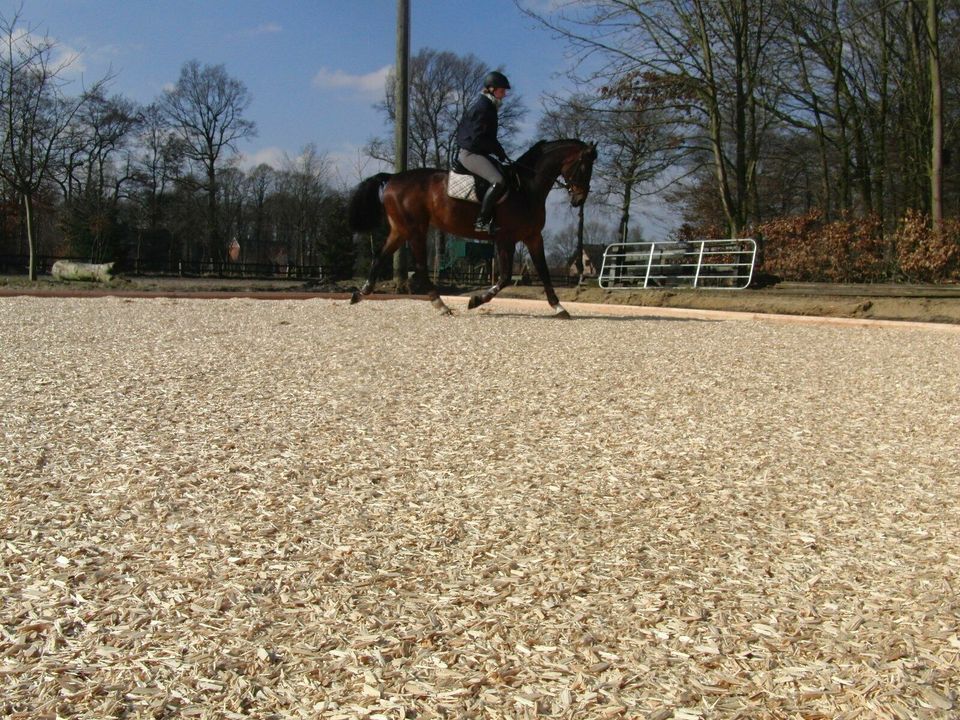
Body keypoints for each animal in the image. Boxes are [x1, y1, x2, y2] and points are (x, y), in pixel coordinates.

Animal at [344, 139, 600, 318]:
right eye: (584, 167)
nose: (579, 200)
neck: (527, 189)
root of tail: (393, 178)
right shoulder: (505, 238)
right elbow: (505, 277)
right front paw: (476, 300)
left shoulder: (533, 237)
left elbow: (544, 272)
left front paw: (559, 307)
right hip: (415, 229)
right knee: (420, 268)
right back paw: (441, 305)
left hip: (401, 229)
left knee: (379, 256)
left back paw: (360, 293)